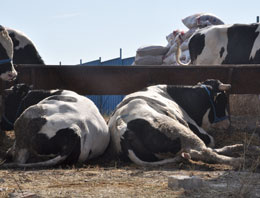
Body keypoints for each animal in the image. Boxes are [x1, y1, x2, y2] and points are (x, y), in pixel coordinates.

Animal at [107, 79, 246, 167]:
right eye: (222, 100)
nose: (228, 123)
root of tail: (121, 130)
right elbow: (211, 142)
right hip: (178, 130)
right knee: (206, 152)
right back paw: (237, 160)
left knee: (197, 152)